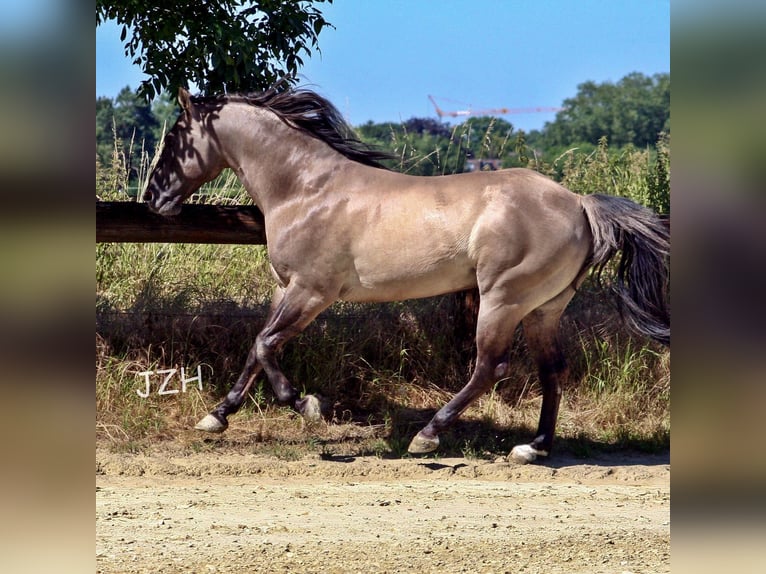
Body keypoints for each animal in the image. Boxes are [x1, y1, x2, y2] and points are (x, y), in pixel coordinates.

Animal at [143, 86, 669, 464]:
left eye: (174, 138)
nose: (154, 199)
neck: (306, 189)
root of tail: (579, 203)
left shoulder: (312, 291)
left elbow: (266, 344)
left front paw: (307, 406)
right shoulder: (284, 289)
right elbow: (257, 348)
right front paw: (216, 417)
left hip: (503, 298)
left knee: (489, 367)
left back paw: (427, 436)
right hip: (544, 307)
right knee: (551, 369)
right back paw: (532, 448)